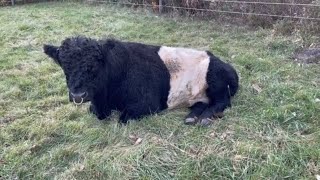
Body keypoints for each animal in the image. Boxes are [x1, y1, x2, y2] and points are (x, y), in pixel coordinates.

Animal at [42, 36, 239, 126]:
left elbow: (122, 119)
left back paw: (205, 118)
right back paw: (191, 117)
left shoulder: (147, 104)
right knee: (201, 103)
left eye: (95, 65)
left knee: (222, 102)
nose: (78, 95)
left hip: (217, 82)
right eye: (64, 66)